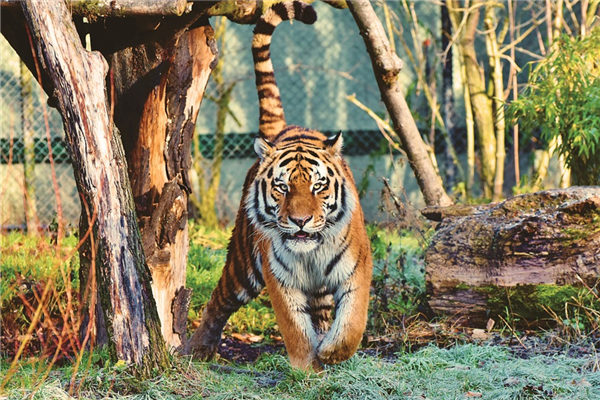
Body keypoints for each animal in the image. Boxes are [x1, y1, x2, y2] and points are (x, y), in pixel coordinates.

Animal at [185, 0, 372, 370]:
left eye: (318, 187)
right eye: (282, 188)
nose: (300, 221)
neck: (311, 254)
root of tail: (283, 129)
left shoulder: (357, 268)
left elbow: (353, 322)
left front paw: (332, 352)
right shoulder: (279, 278)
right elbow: (294, 329)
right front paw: (305, 366)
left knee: (323, 313)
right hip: (242, 265)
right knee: (218, 300)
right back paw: (198, 348)